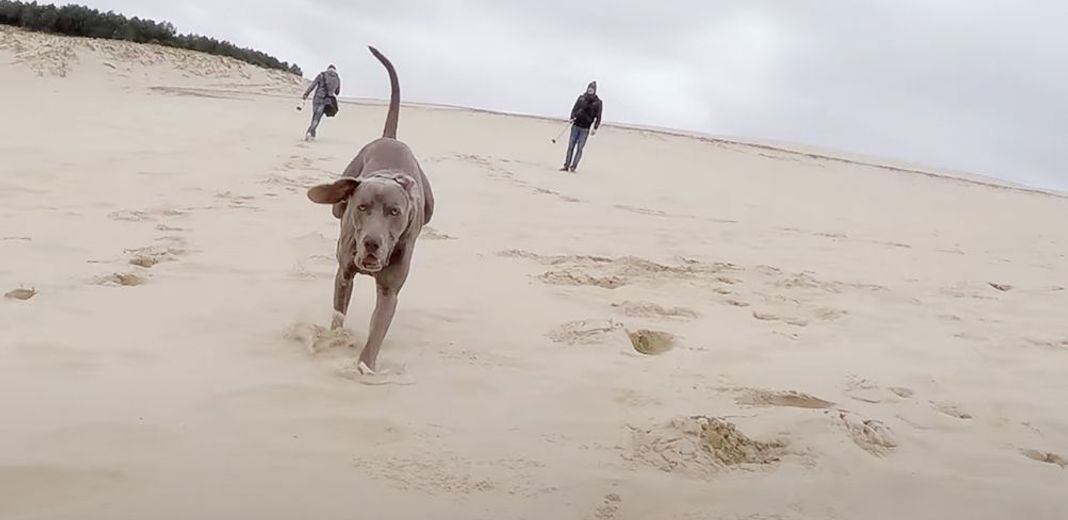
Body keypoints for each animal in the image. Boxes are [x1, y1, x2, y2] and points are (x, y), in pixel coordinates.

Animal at [305, 46, 433, 375]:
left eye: (395, 212)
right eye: (362, 207)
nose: (372, 243)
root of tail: (391, 138)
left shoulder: (389, 291)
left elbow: (377, 332)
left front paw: (365, 366)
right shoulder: (344, 273)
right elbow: (338, 313)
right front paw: (334, 340)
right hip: (339, 200)